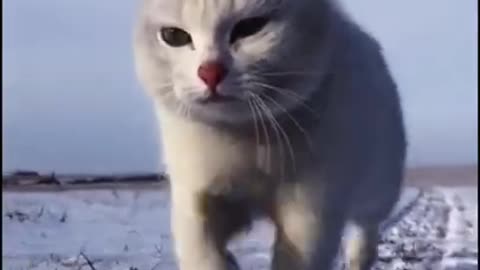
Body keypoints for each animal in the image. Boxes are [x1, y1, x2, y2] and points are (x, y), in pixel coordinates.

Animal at [133, 1, 406, 268]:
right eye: (173, 36)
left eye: (251, 26)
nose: (210, 72)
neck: (246, 138)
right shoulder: (194, 189)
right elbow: (199, 250)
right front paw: (222, 260)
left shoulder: (312, 210)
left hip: (380, 183)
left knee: (367, 222)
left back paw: (359, 256)